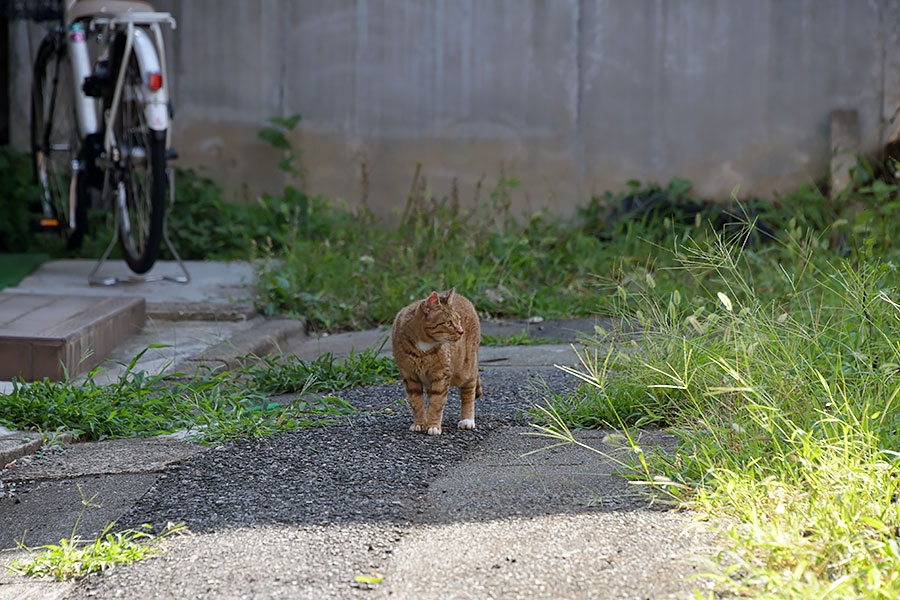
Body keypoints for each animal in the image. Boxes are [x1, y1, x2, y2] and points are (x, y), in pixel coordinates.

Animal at [390, 288, 482, 434]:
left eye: (458, 320)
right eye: (448, 323)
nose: (461, 331)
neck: (423, 348)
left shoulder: (441, 376)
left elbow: (437, 402)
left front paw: (433, 426)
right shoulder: (410, 377)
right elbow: (416, 403)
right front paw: (419, 423)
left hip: (467, 368)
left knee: (469, 393)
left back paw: (467, 420)